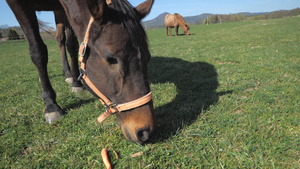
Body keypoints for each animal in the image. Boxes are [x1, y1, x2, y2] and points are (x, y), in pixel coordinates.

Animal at [6, 0, 157, 144]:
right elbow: (37, 51)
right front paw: (51, 105)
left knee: (60, 39)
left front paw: (76, 83)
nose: (145, 132)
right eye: (112, 59)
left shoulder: (63, 9)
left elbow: (71, 45)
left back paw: (68, 74)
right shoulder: (18, 5)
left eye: (148, 57)